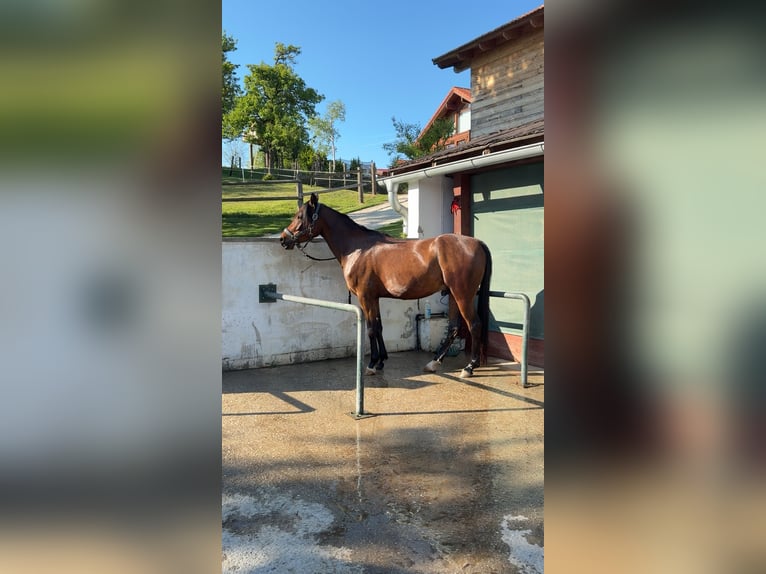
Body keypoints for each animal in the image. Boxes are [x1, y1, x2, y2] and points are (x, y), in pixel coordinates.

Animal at [280, 193, 492, 378]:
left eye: (300, 216)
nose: (283, 238)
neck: (358, 248)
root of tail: (477, 242)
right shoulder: (374, 298)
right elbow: (379, 327)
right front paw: (381, 361)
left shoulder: (365, 297)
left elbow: (371, 329)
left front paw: (372, 364)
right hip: (454, 295)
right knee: (454, 328)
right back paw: (434, 362)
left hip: (462, 295)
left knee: (474, 325)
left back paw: (469, 367)